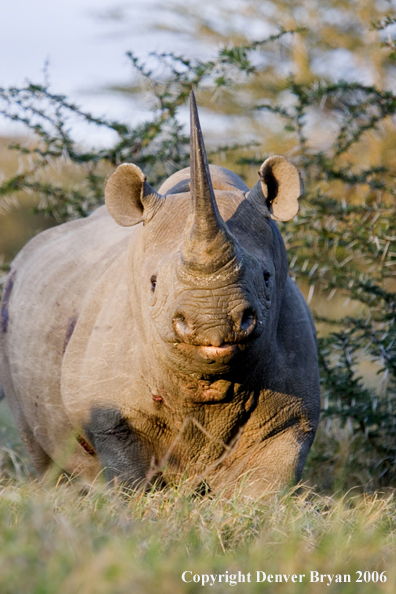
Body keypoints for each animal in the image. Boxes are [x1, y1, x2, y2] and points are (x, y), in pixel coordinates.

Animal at [0, 91, 320, 490]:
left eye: (266, 277)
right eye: (153, 283)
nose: (213, 324)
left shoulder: (293, 416)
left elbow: (266, 485)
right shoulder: (111, 420)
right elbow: (130, 478)